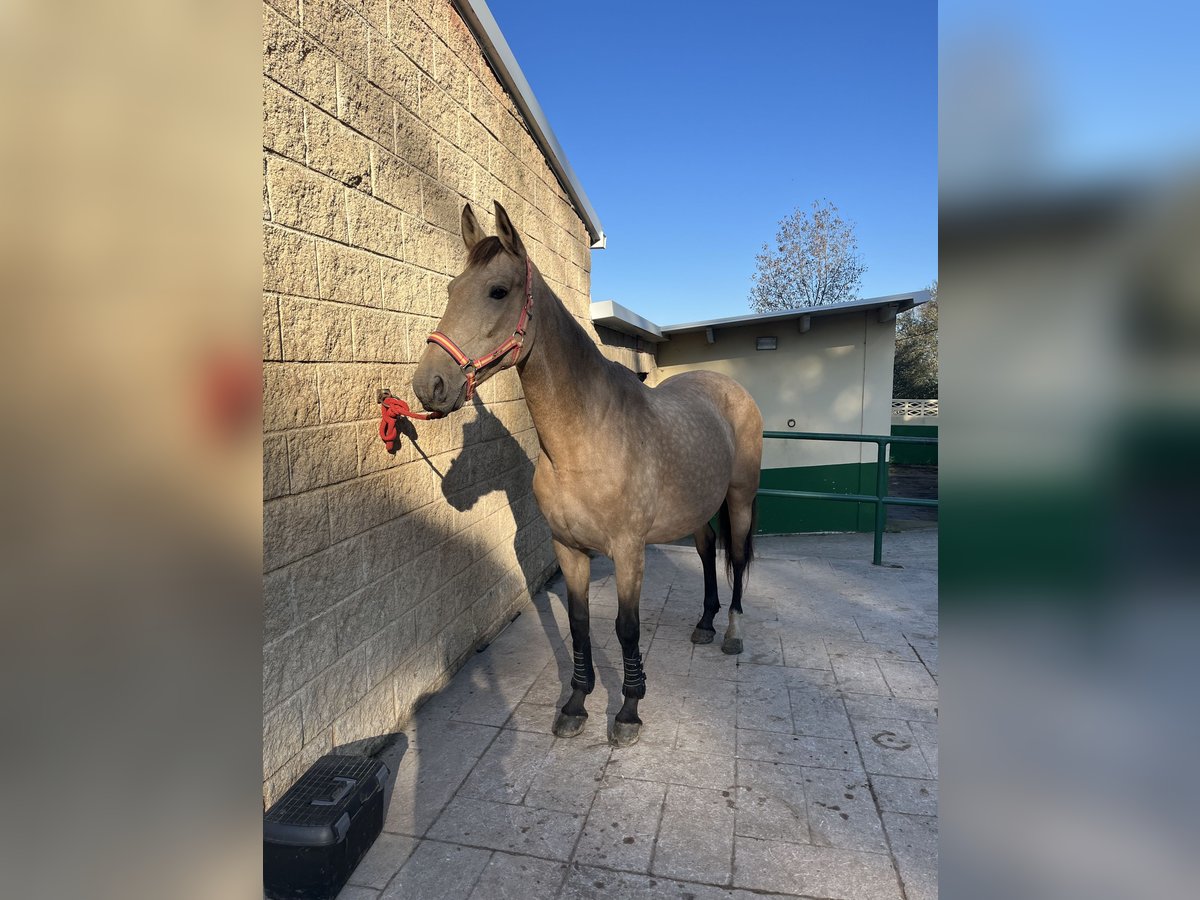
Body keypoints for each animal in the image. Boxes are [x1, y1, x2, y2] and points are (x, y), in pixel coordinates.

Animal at [412, 202, 763, 748]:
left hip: (741, 498)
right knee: (708, 554)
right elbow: (578, 625)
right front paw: (576, 703)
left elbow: (626, 628)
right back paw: (705, 623)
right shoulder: (568, 550)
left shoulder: (628, 552)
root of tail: (731, 389)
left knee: (739, 558)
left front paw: (629, 712)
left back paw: (731, 633)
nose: (429, 385)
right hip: (699, 508)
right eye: (451, 289)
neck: (583, 442)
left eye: (498, 291)